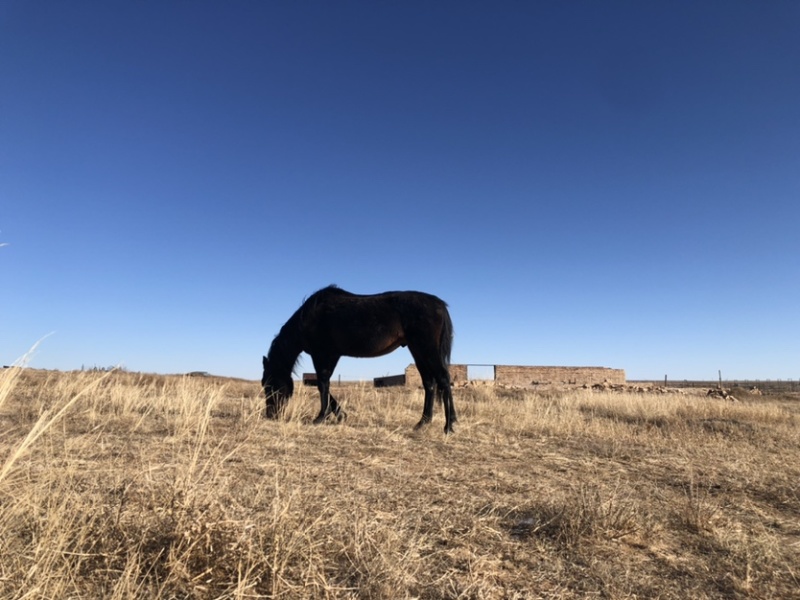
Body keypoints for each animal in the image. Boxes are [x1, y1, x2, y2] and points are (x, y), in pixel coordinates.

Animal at [262, 285, 457, 433]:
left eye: (270, 385)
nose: (271, 415)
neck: (310, 318)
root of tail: (439, 304)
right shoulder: (329, 355)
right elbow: (324, 385)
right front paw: (340, 415)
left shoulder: (323, 354)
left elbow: (322, 384)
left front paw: (321, 417)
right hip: (417, 351)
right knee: (429, 383)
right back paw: (423, 422)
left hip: (427, 349)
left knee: (443, 379)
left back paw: (449, 425)